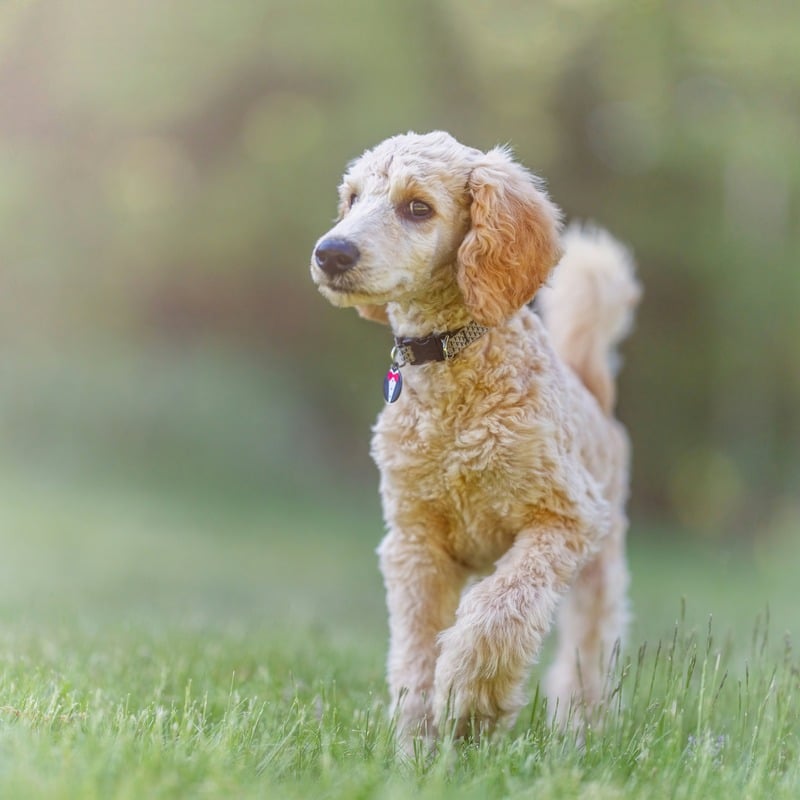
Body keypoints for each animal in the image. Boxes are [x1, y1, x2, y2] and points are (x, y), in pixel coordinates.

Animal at [310, 131, 640, 744]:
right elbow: (416, 649)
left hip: (600, 563)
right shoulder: (416, 543)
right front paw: (416, 738)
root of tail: (595, 392)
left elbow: (501, 609)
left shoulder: (566, 518)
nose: (331, 253)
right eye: (352, 198)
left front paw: (471, 701)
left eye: (418, 207)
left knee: (587, 650)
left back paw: (578, 728)